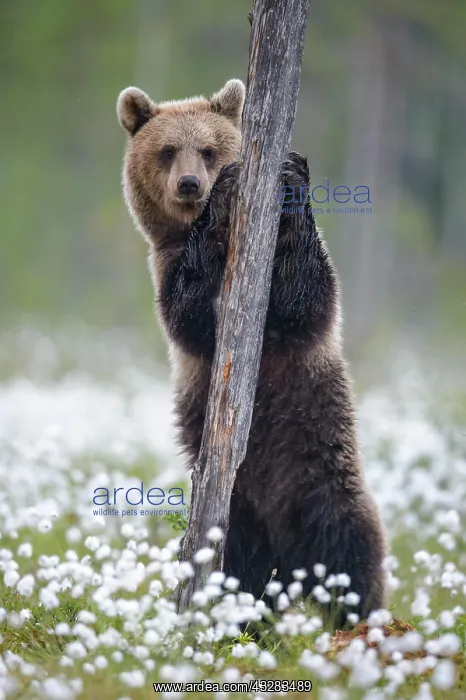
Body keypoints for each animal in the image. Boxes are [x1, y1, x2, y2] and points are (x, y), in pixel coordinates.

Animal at [117, 78, 387, 628]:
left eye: (207, 148)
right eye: (167, 150)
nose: (191, 184)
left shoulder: (299, 320)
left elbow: (305, 295)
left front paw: (290, 175)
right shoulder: (169, 273)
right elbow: (191, 314)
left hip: (317, 468)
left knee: (349, 541)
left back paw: (355, 615)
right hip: (238, 511)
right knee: (239, 561)